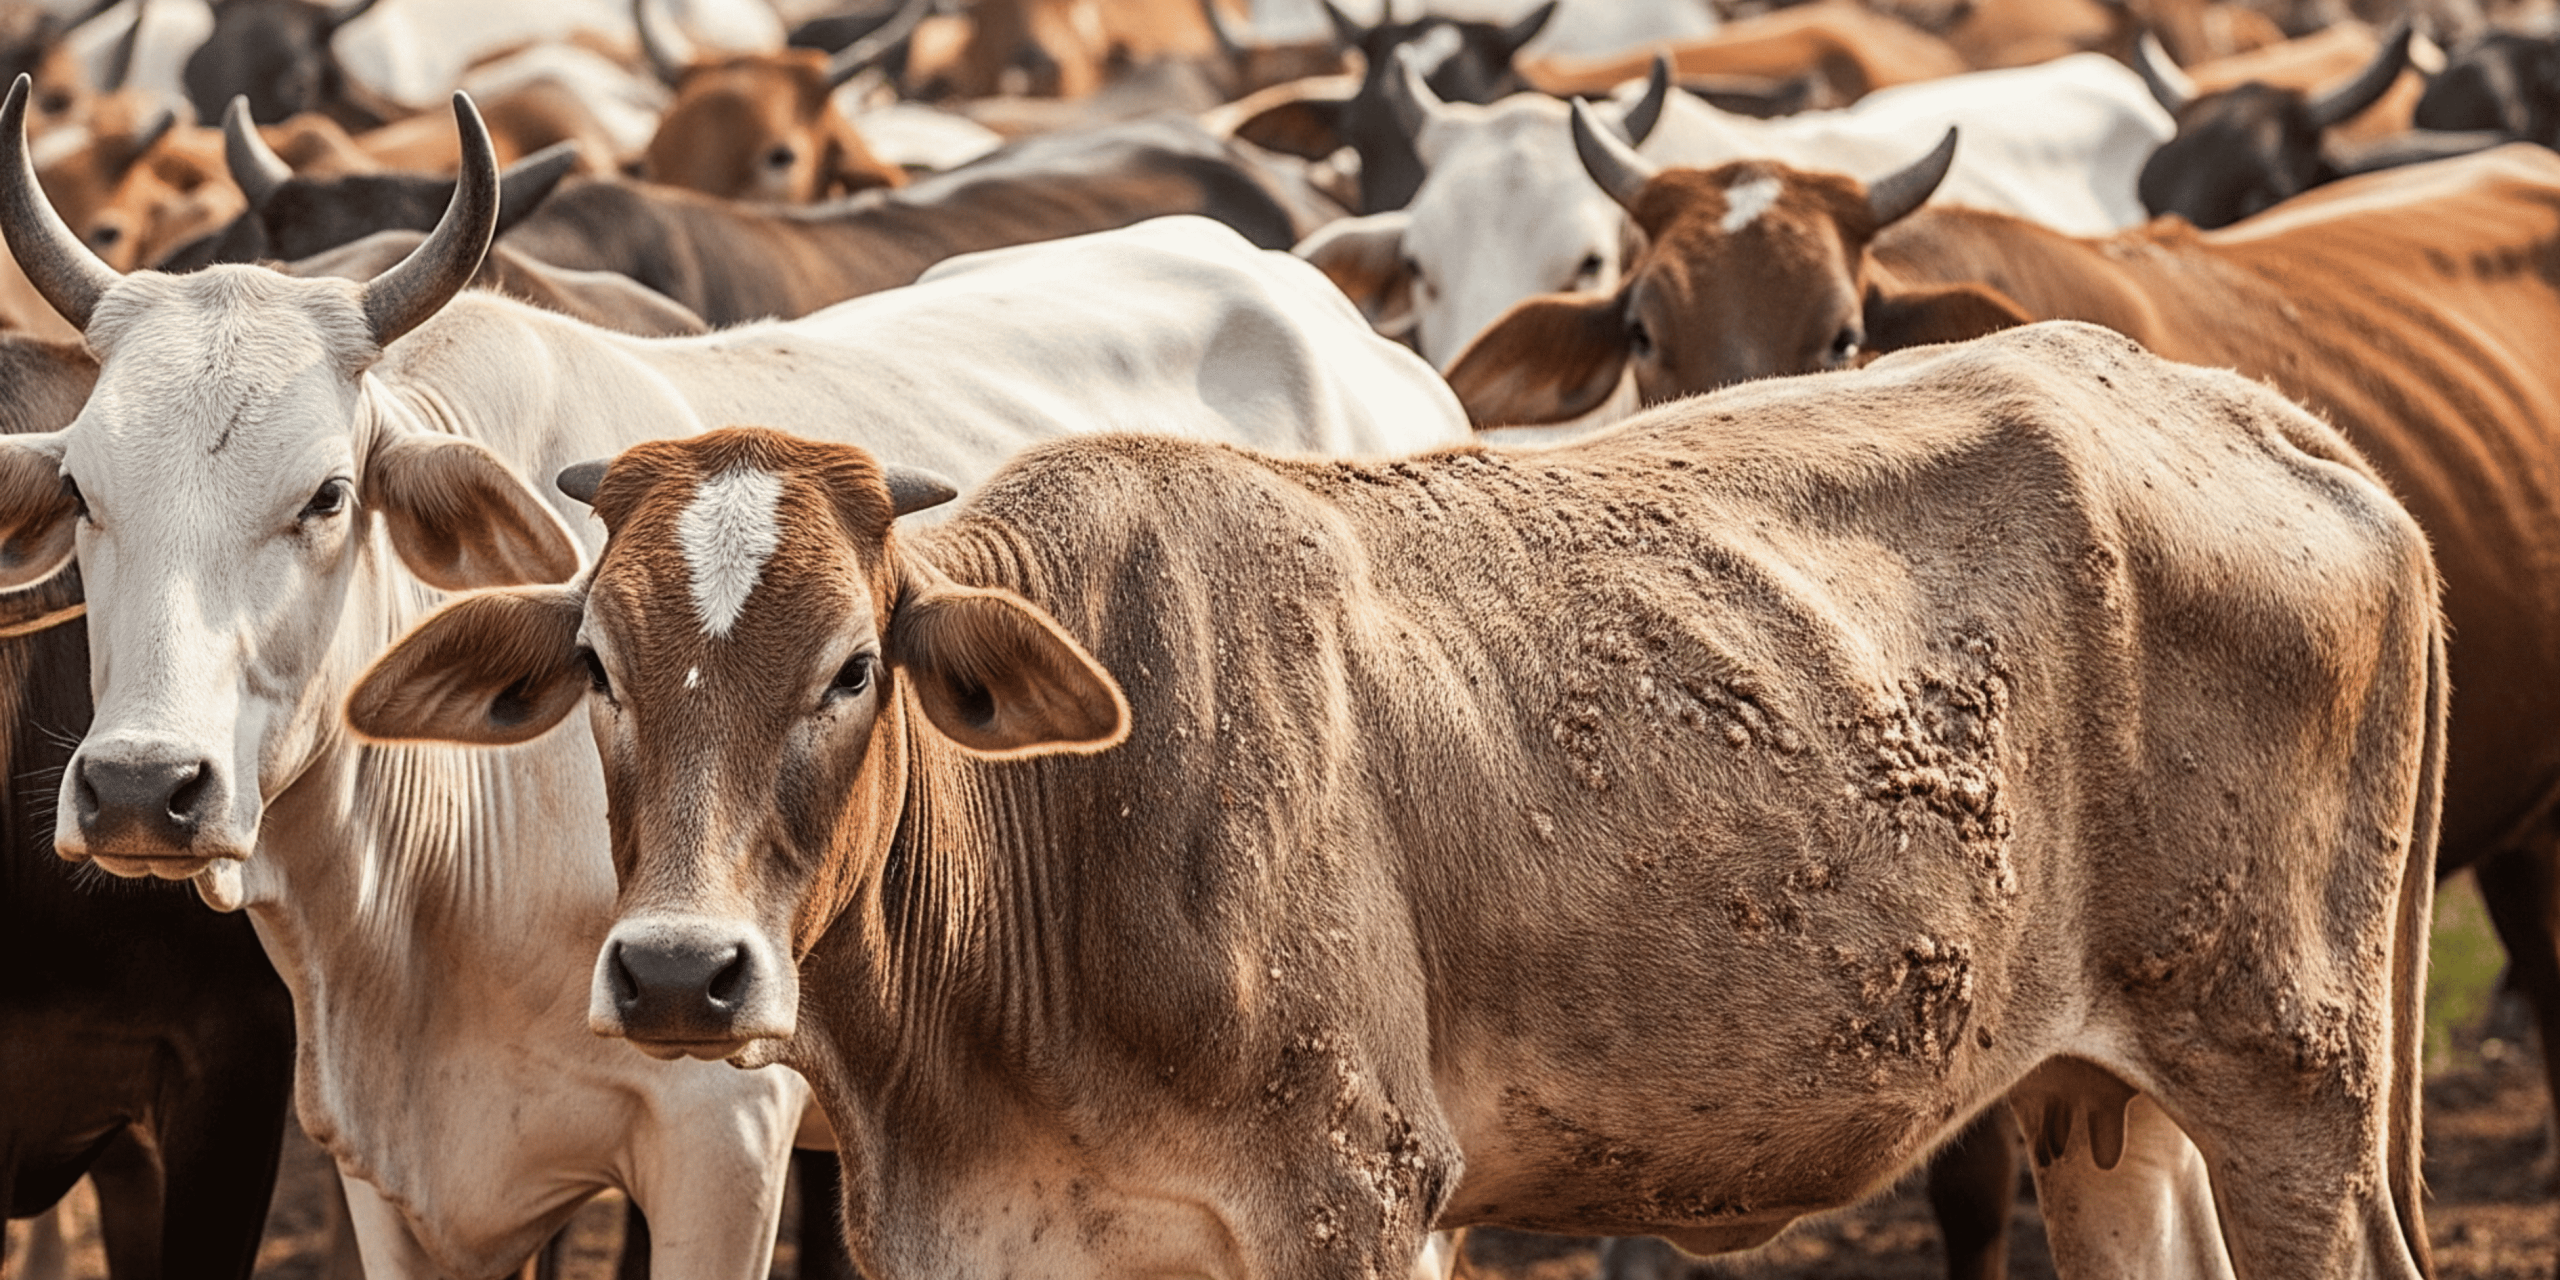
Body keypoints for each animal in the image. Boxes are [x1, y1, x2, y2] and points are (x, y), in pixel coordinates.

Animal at [347, 320, 2443, 1280]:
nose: (679, 976)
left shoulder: (1352, 1191)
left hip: (2292, 1088)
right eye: (597, 667)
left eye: (857, 666)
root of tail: (2268, 419)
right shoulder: (965, 1228)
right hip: (2107, 1096)